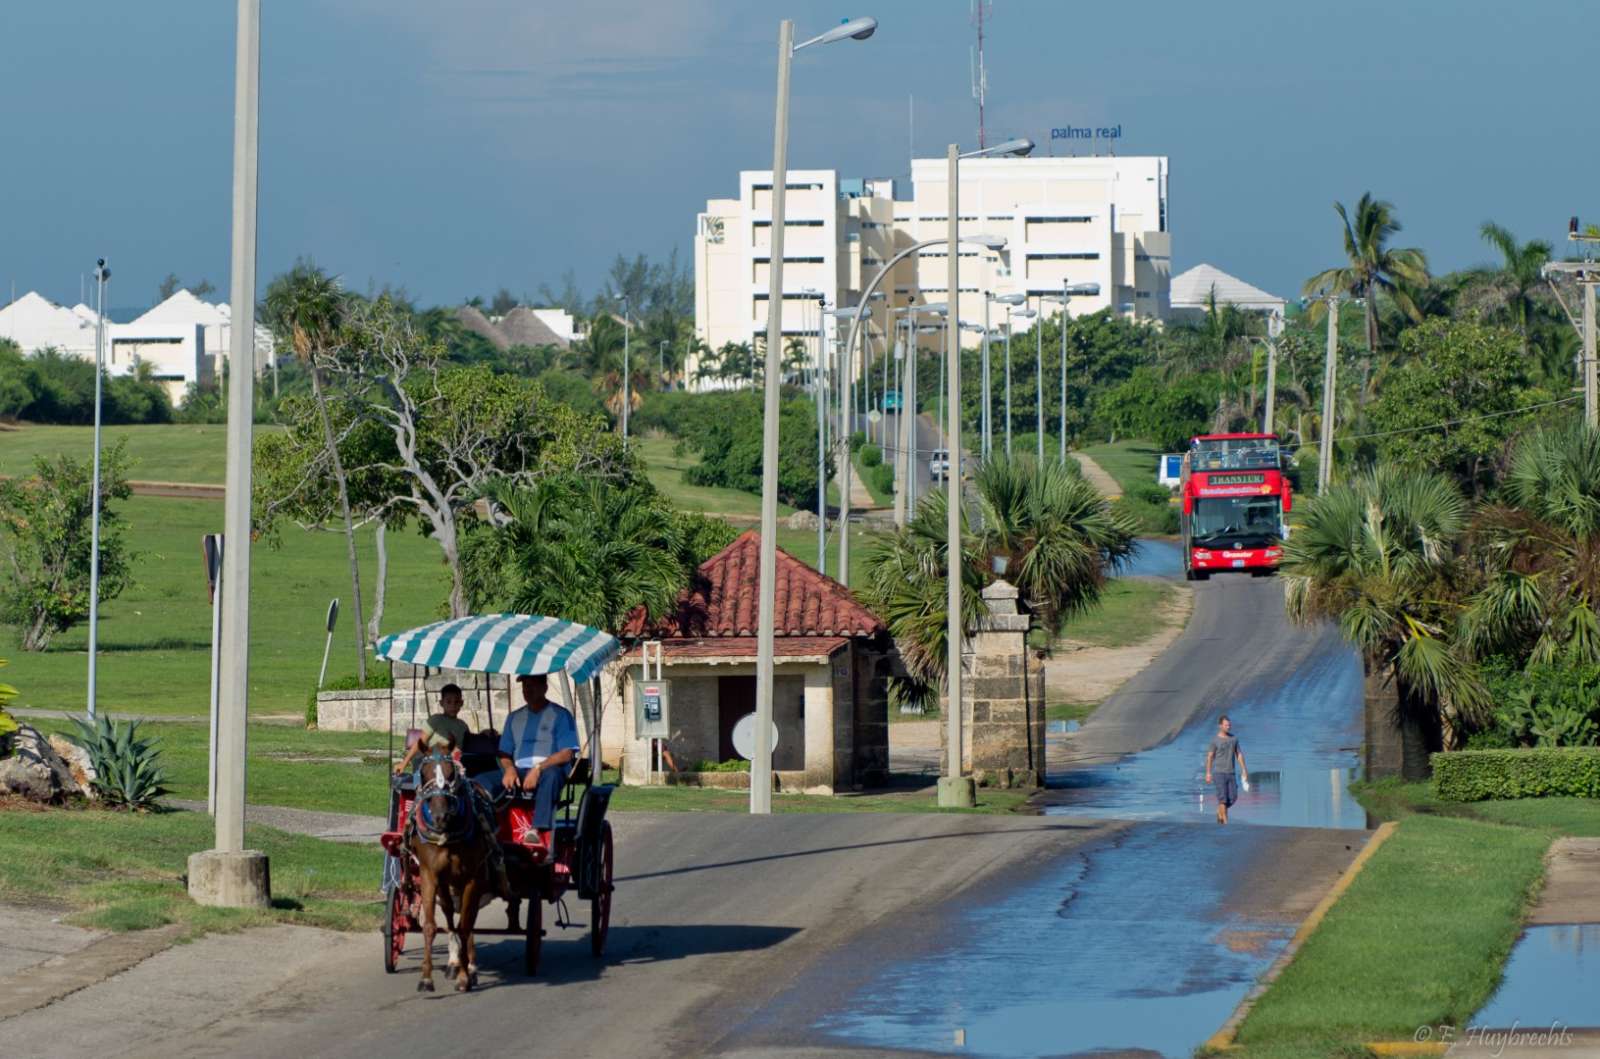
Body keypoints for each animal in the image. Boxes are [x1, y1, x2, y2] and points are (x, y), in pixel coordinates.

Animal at [403, 755, 496, 998]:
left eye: (452, 773)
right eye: (423, 773)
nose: (439, 816)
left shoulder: (473, 878)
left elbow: (465, 924)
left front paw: (465, 977)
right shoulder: (429, 874)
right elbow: (431, 925)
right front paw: (426, 979)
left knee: (467, 920)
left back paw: (468, 966)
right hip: (446, 884)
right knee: (449, 913)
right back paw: (455, 962)